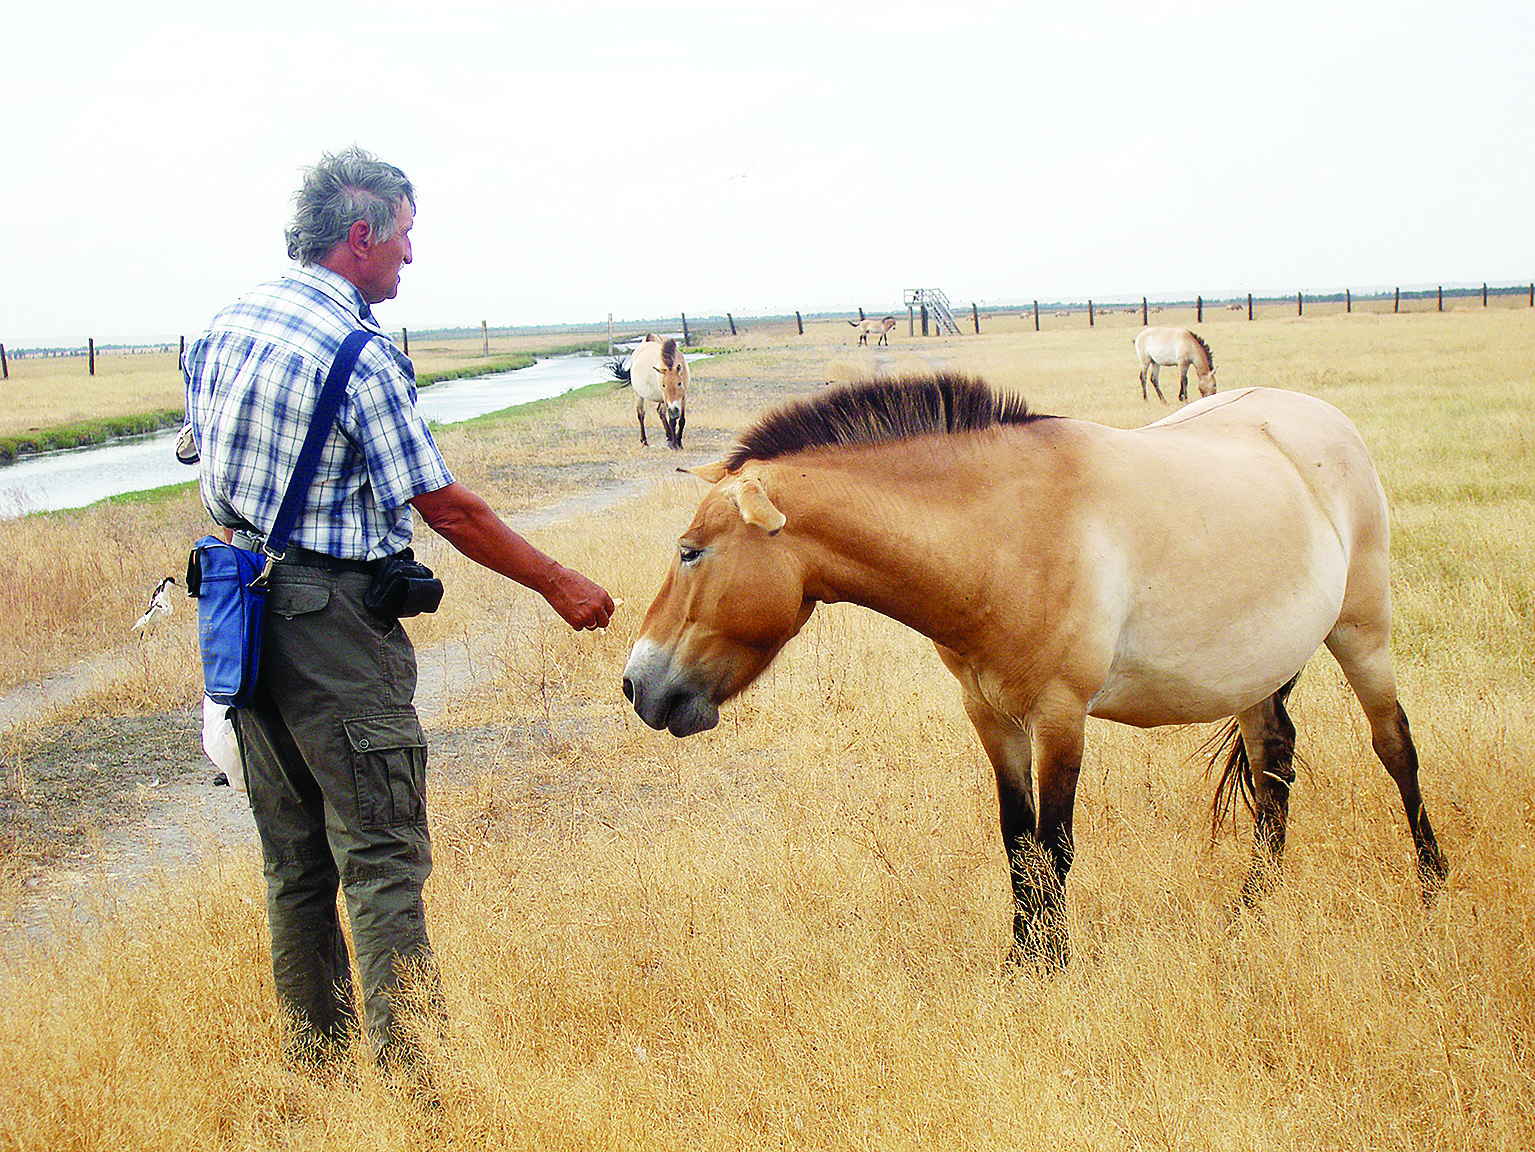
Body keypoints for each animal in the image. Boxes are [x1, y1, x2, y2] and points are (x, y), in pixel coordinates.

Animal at [620, 380, 1436, 976]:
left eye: (690, 551)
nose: (637, 686)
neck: (1000, 535)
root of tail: (1321, 417)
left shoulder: (1059, 717)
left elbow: (1056, 846)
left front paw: (1052, 966)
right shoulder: (991, 716)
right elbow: (1019, 846)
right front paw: (1022, 961)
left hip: (1362, 632)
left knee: (1394, 746)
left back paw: (1431, 886)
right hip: (1253, 670)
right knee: (1271, 768)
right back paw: (1252, 910)